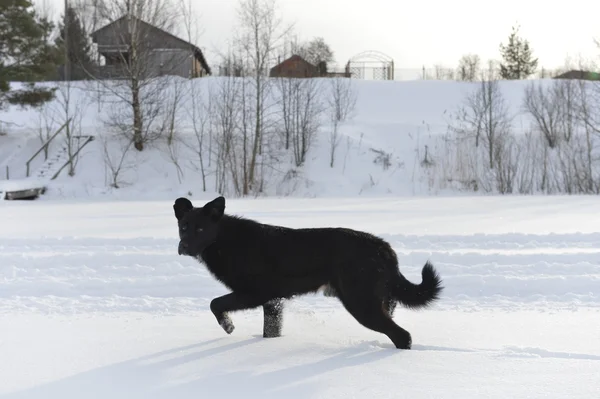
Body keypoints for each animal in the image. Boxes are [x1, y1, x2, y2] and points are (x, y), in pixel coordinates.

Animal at [173, 197, 440, 350]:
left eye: (200, 229)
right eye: (183, 227)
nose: (183, 247)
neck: (224, 240)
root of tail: (384, 249)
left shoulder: (255, 294)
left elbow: (215, 303)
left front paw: (227, 326)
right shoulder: (273, 302)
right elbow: (270, 331)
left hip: (361, 304)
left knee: (403, 336)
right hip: (378, 302)